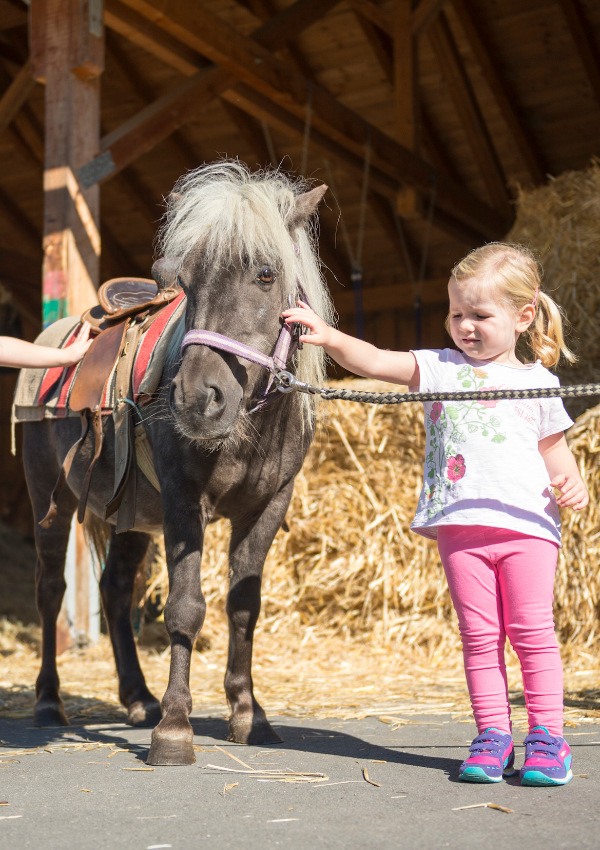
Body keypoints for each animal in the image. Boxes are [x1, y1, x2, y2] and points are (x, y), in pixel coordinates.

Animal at [20, 159, 334, 765]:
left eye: (266, 274)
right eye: (185, 281)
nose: (195, 398)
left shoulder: (268, 507)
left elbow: (244, 606)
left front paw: (248, 714)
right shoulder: (184, 502)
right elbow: (186, 607)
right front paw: (174, 728)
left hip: (130, 515)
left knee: (115, 590)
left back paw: (137, 698)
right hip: (51, 500)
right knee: (50, 591)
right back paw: (49, 702)